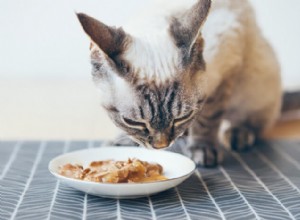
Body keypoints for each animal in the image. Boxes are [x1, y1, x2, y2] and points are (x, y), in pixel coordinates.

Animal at [77, 0, 300, 167]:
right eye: (133, 122)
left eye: (182, 116)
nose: (161, 146)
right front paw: (123, 142)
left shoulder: (225, 73)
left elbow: (207, 120)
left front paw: (203, 149)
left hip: (255, 85)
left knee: (254, 120)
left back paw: (238, 134)